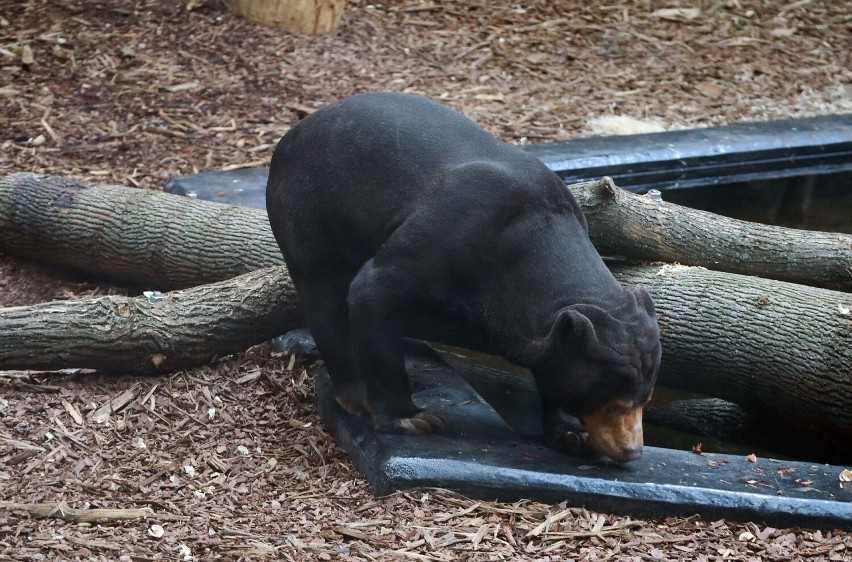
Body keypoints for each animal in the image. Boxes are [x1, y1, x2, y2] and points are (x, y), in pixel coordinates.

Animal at [266, 91, 660, 460]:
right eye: (611, 402)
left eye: (645, 400)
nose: (632, 451)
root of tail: (292, 134)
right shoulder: (446, 239)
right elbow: (371, 292)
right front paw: (411, 419)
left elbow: (550, 363)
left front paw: (571, 434)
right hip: (308, 215)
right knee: (325, 299)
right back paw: (355, 396)